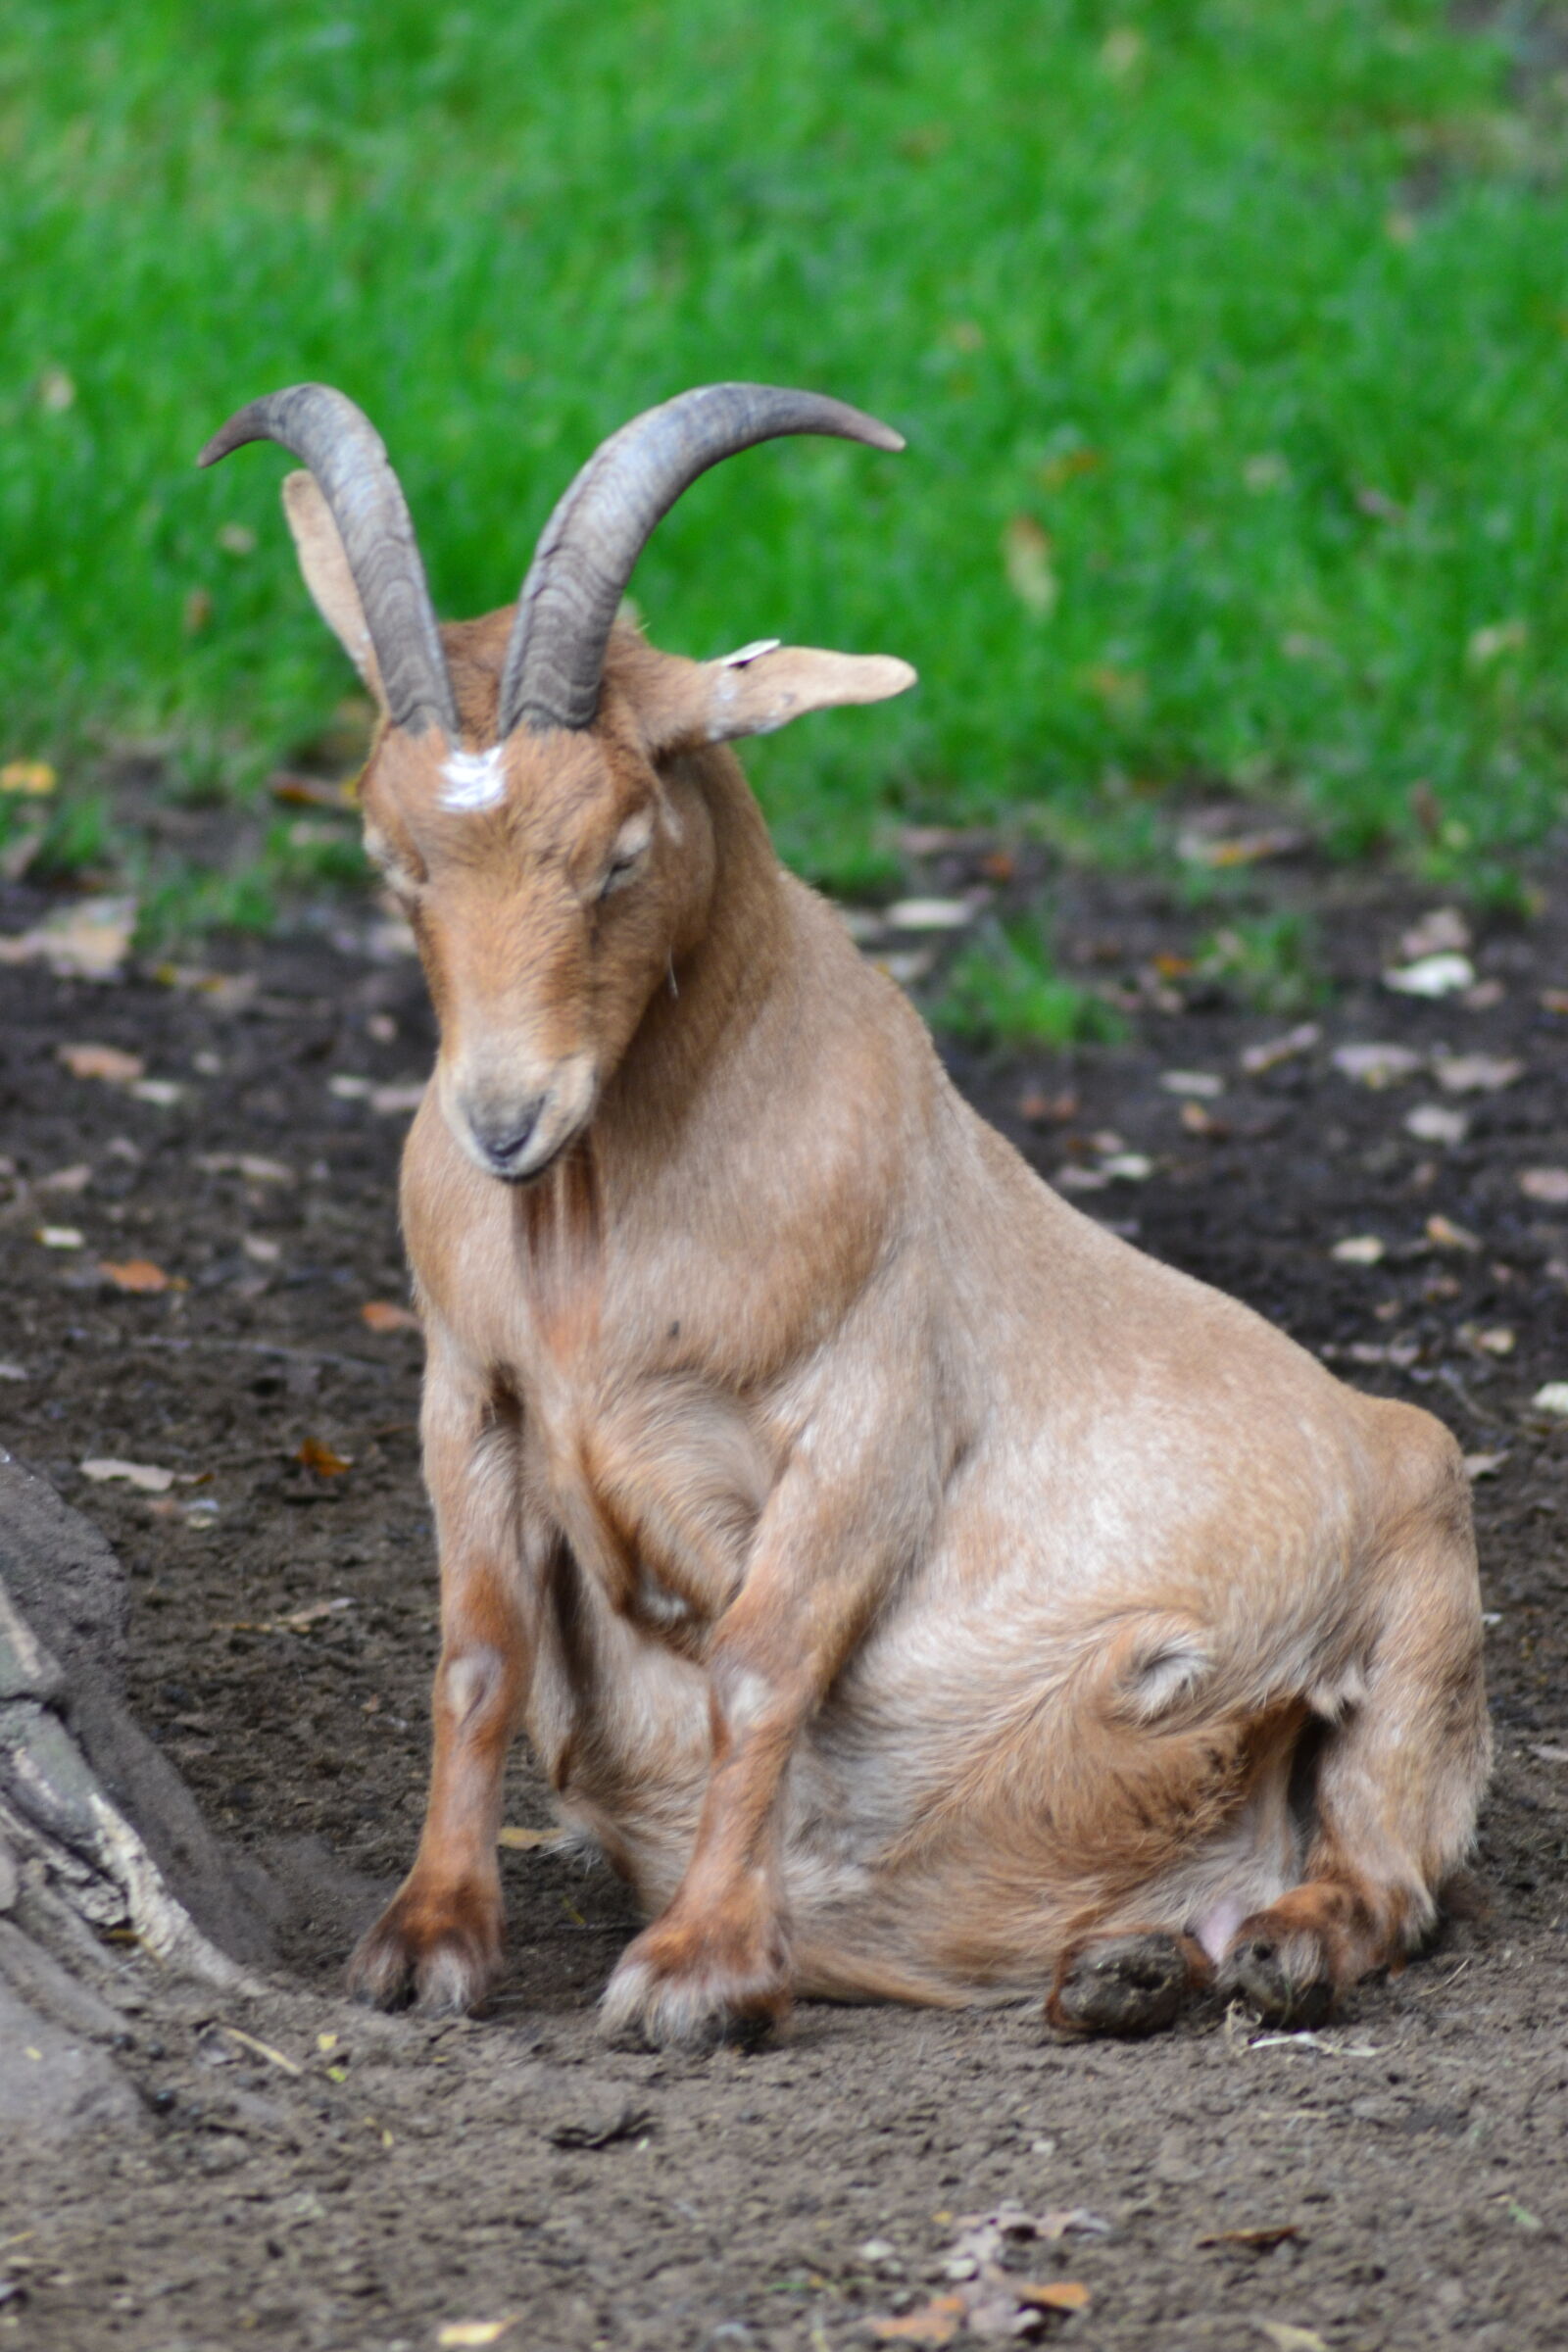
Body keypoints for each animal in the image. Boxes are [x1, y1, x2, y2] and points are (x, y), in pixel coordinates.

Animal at [200, 382, 1489, 2045]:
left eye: (621, 850)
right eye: (388, 856)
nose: (503, 1124)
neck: (599, 1251)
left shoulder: (867, 1419)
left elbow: (761, 1668)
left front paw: (698, 1970)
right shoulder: (469, 1392)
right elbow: (477, 1654)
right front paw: (424, 1943)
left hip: (1421, 1568)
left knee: (1389, 1869)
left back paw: (1286, 1944)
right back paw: (1128, 1968)